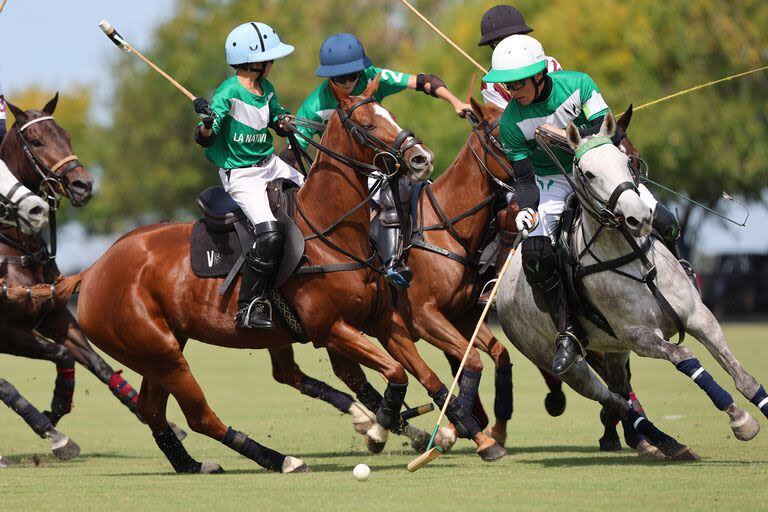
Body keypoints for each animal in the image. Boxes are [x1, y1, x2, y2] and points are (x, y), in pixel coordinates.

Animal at [16, 78, 504, 474]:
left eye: (390, 113)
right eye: (367, 122)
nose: (421, 158)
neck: (330, 231)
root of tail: (91, 270)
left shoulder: (389, 321)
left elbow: (429, 375)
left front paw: (476, 437)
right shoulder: (333, 327)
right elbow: (399, 373)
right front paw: (385, 428)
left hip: (158, 348)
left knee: (155, 411)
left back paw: (192, 465)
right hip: (162, 352)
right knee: (199, 416)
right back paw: (280, 459)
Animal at [496, 113, 764, 460]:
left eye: (625, 162)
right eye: (588, 173)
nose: (639, 217)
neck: (634, 258)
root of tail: (499, 286)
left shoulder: (699, 316)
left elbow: (740, 374)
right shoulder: (640, 336)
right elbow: (684, 356)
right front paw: (740, 420)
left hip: (615, 352)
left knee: (621, 393)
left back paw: (663, 443)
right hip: (563, 361)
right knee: (613, 400)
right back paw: (666, 443)